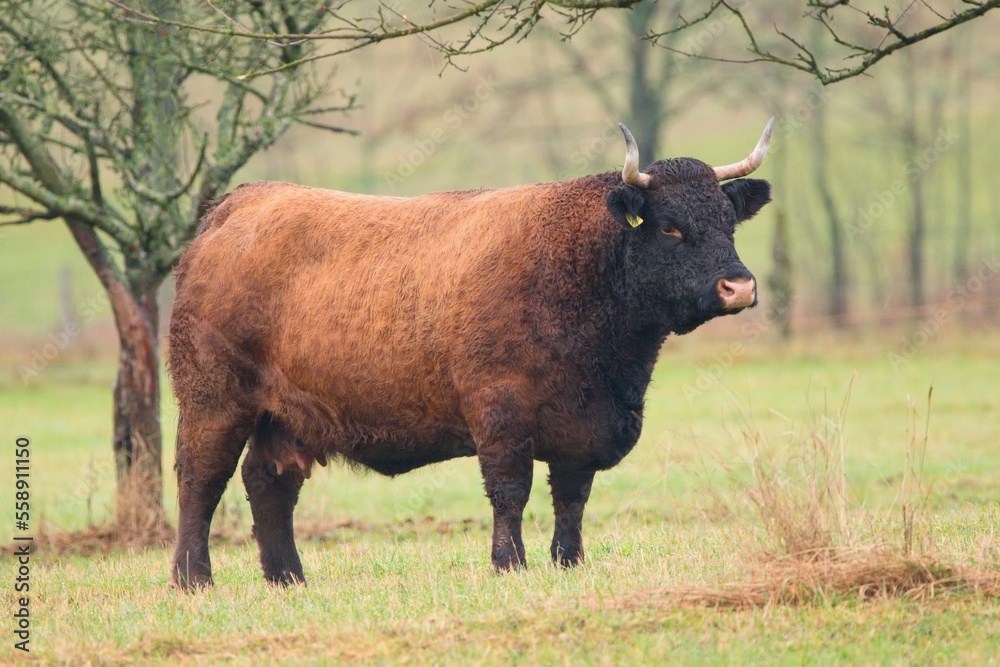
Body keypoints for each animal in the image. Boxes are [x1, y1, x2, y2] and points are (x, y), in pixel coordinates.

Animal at [168, 120, 772, 588]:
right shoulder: (500, 411)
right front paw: (510, 565)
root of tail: (239, 202)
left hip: (285, 416)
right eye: (670, 226)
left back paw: (288, 577)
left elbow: (572, 497)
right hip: (212, 400)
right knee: (200, 481)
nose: (739, 286)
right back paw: (193, 578)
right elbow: (509, 491)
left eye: (728, 222)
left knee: (269, 481)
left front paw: (569, 562)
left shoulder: (582, 426)